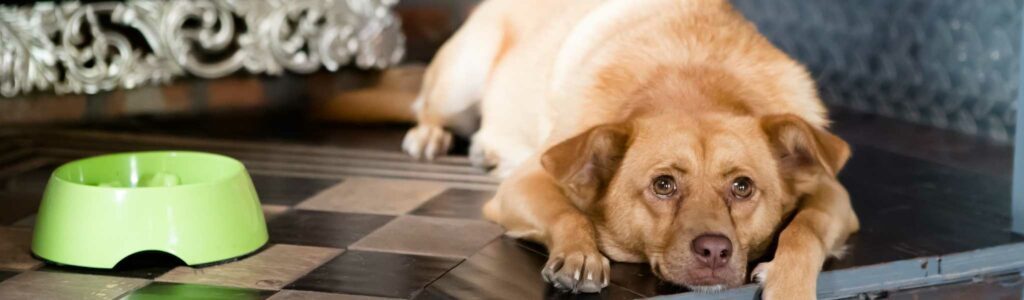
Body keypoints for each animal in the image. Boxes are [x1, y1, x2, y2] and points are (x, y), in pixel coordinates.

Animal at [323, 0, 860, 294]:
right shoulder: (525, 183)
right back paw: (434, 136)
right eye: (663, 185)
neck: (694, 79)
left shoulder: (835, 197)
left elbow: (804, 229)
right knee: (427, 107)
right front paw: (580, 253)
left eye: (744, 187)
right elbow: (568, 213)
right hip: (461, 78)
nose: (714, 251)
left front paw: (788, 284)